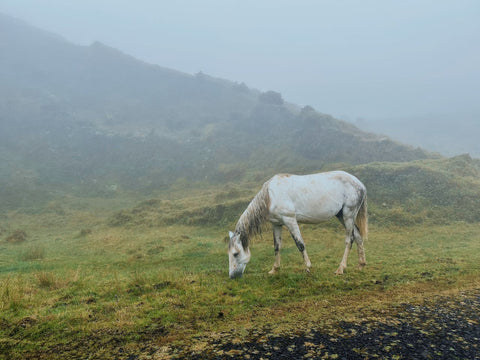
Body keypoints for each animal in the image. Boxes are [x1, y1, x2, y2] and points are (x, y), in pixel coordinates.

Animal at [228, 171, 368, 278]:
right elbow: (277, 246)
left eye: (235, 254)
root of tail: (360, 184)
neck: (270, 195)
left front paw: (308, 267)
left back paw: (340, 269)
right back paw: (361, 265)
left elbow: (300, 244)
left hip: (348, 215)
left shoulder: (290, 220)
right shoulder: (277, 224)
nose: (232, 276)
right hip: (342, 216)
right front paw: (274, 269)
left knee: (349, 240)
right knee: (358, 236)